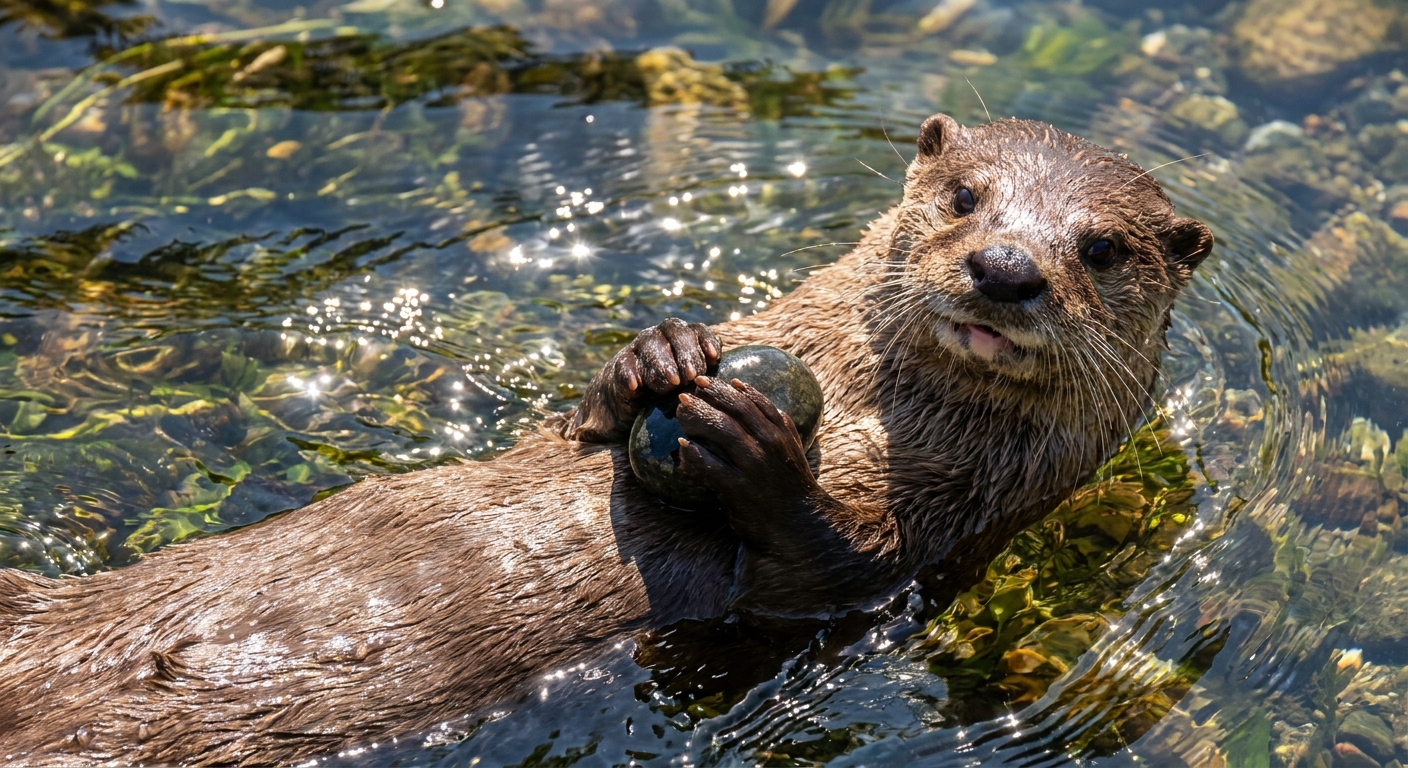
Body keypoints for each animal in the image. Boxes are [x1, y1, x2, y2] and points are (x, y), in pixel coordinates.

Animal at [0, 115, 1212, 766]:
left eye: (1100, 248)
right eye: (964, 195)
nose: (1005, 268)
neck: (874, 402)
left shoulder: (944, 536)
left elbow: (822, 572)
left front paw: (758, 453)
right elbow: (581, 424)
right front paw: (654, 353)